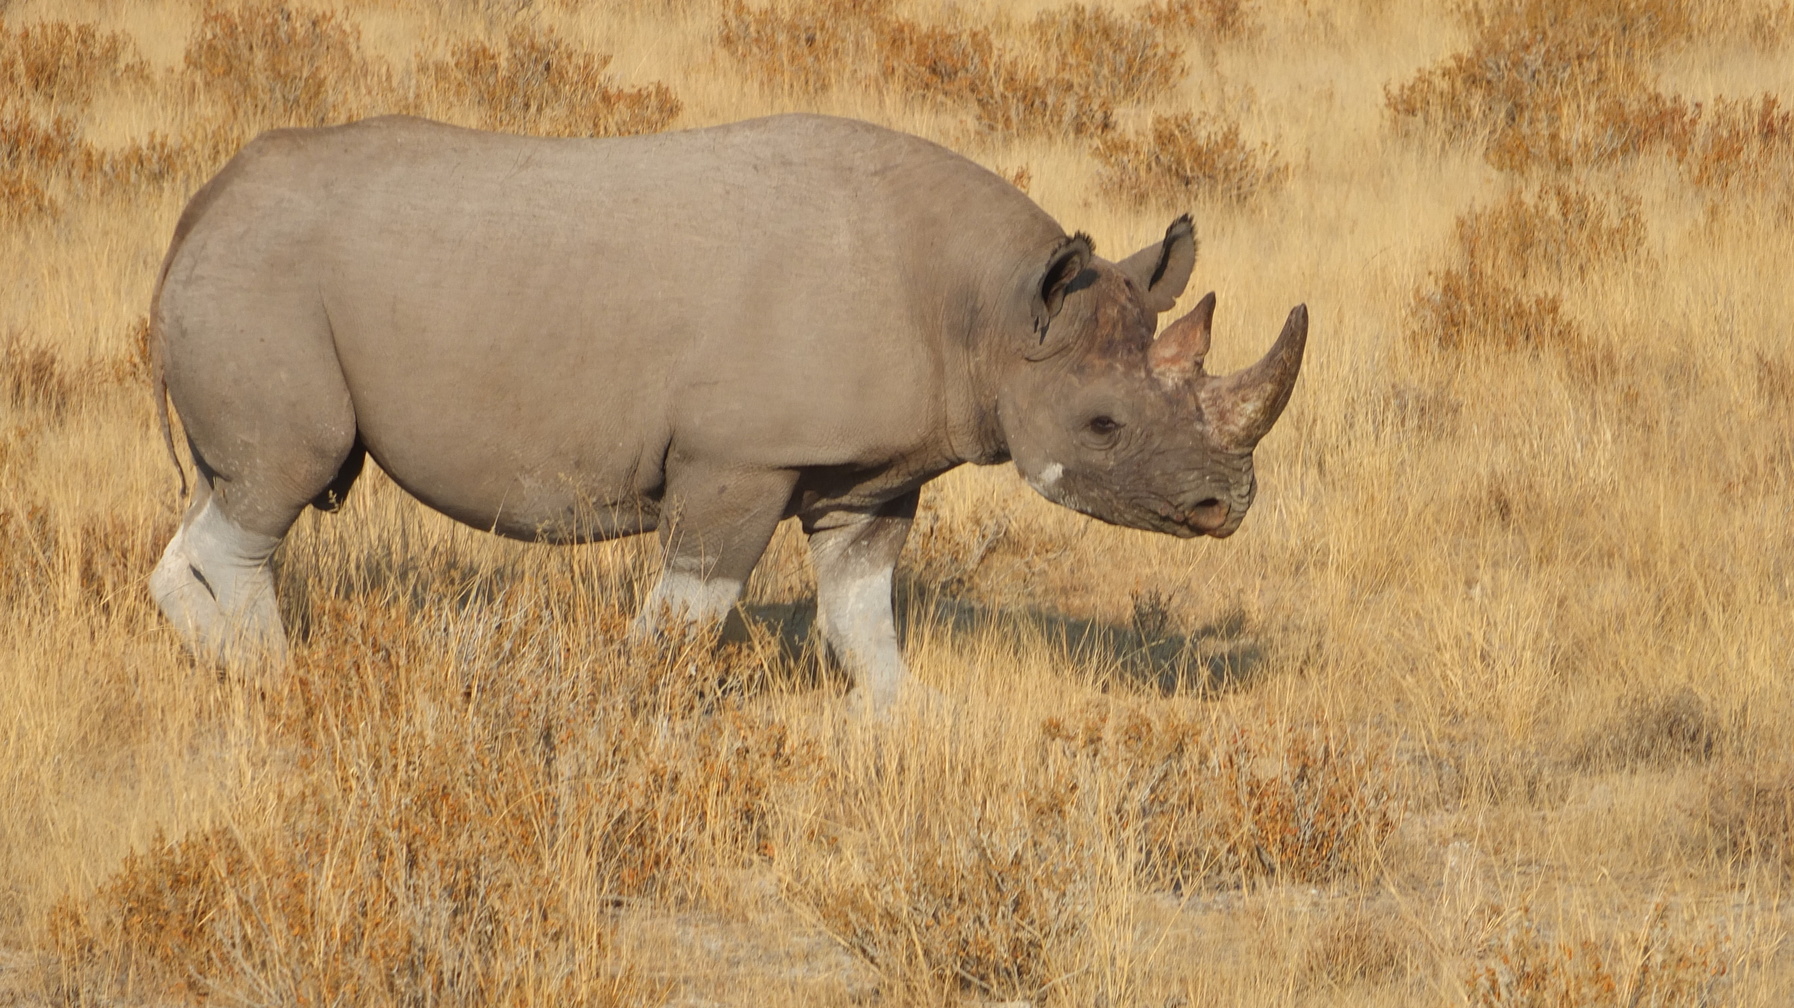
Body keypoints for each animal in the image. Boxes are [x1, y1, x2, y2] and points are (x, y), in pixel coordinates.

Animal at [148, 113, 1306, 712]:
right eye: (1104, 425)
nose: (1226, 507)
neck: (994, 310)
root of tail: (202, 202)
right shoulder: (737, 459)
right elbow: (688, 612)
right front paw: (639, 717)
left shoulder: (870, 472)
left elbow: (862, 611)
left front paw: (908, 722)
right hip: (263, 281)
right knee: (278, 483)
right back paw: (275, 679)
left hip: (253, 275)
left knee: (231, 492)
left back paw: (231, 668)